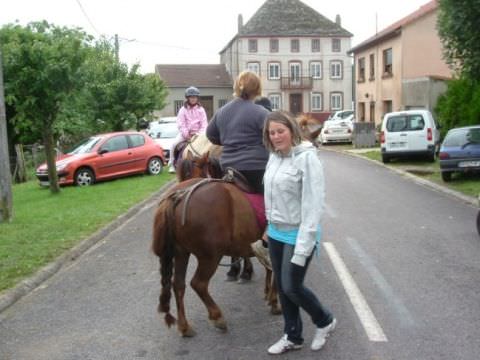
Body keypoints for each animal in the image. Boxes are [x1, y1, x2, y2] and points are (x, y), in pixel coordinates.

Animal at [153, 178, 282, 338]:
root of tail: (179, 196)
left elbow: (269, 268)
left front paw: (268, 293)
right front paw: (274, 301)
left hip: (181, 253)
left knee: (178, 285)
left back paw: (184, 327)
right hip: (210, 257)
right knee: (198, 284)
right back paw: (217, 317)